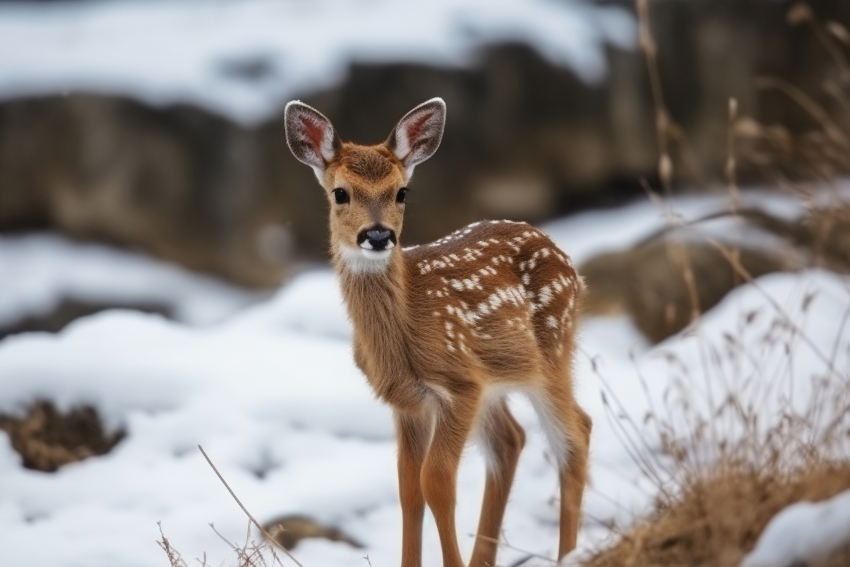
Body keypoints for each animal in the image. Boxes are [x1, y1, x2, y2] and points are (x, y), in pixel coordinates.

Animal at [284, 98, 588, 567]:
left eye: (401, 192)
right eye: (340, 193)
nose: (378, 235)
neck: (406, 329)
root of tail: (568, 261)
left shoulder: (460, 384)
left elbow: (437, 483)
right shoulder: (409, 401)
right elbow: (409, 490)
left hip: (552, 352)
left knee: (575, 437)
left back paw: (570, 555)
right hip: (500, 379)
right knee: (511, 440)